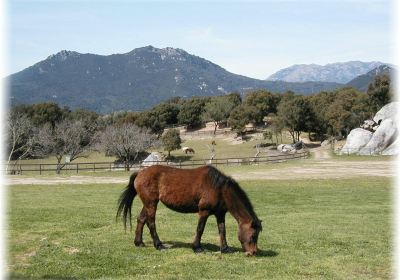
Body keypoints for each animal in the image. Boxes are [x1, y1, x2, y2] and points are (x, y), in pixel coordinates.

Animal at [116, 165, 262, 255]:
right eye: (253, 235)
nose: (253, 252)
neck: (219, 188)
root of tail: (140, 173)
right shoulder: (204, 211)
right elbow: (200, 229)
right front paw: (197, 247)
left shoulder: (220, 214)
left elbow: (222, 230)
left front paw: (225, 249)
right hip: (151, 204)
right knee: (151, 222)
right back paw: (159, 245)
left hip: (148, 203)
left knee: (141, 219)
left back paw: (139, 243)